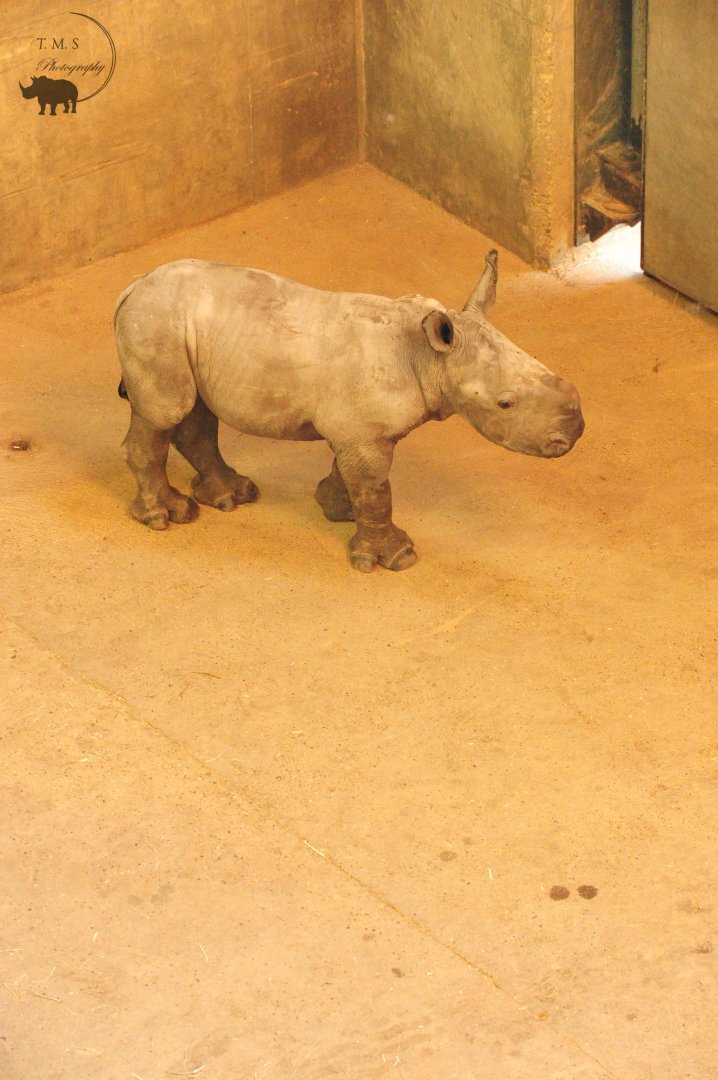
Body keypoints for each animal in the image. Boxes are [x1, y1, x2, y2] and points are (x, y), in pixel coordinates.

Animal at [115, 251, 584, 571]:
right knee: (165, 412)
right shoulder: (363, 433)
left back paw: (233, 496)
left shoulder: (359, 430)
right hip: (156, 324)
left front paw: (335, 508)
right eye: (505, 404)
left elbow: (356, 478)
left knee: (191, 412)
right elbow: (376, 489)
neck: (431, 356)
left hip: (178, 330)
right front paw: (394, 558)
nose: (577, 428)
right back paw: (167, 517)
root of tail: (132, 287)